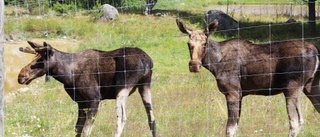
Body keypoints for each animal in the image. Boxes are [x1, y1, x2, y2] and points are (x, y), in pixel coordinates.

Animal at [17, 41, 156, 136]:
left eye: (41, 60)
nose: (21, 76)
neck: (66, 74)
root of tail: (146, 61)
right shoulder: (81, 102)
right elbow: (78, 128)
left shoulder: (94, 98)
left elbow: (85, 130)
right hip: (145, 86)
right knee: (151, 120)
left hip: (122, 88)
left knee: (121, 119)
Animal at [176, 18, 320, 137]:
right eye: (188, 43)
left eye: (205, 43)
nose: (194, 65)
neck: (214, 63)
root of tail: (315, 51)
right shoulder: (240, 94)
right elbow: (235, 128)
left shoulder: (232, 92)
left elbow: (229, 130)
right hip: (310, 86)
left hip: (292, 87)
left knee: (295, 123)